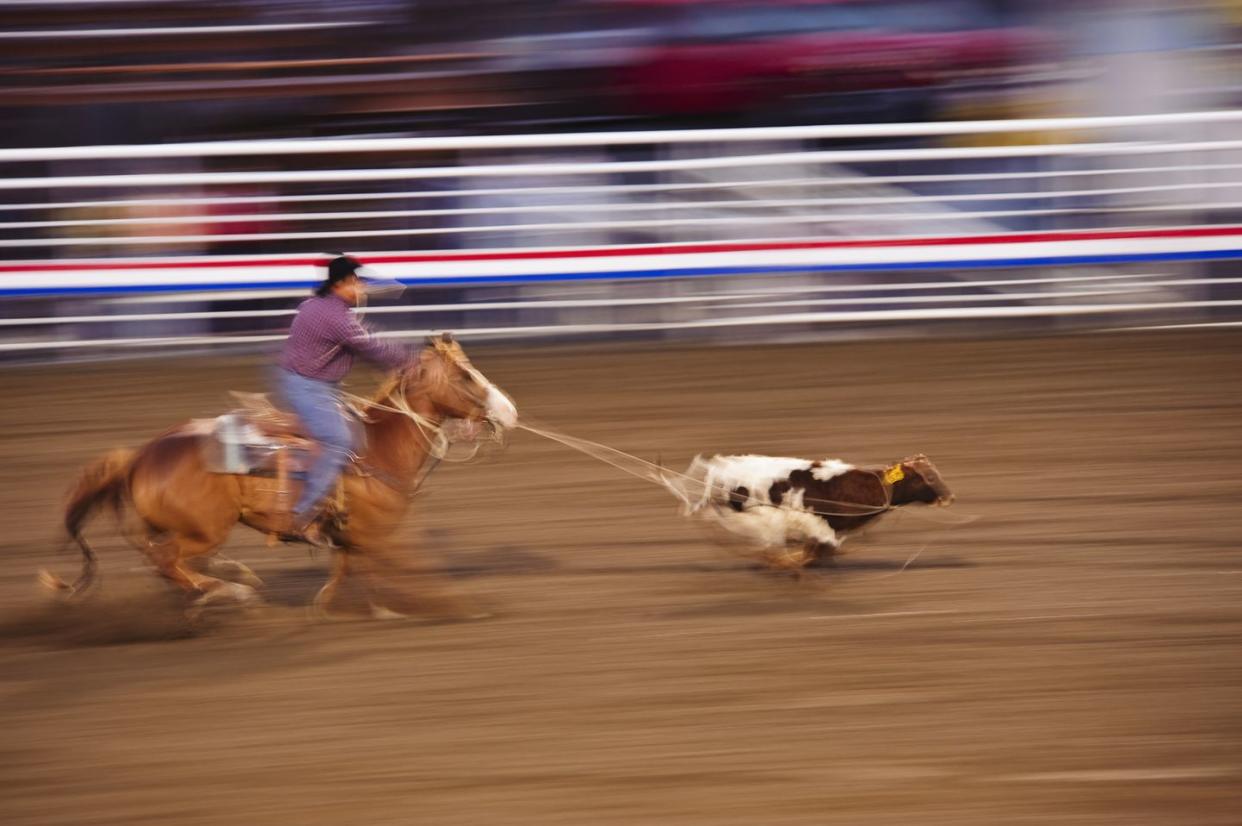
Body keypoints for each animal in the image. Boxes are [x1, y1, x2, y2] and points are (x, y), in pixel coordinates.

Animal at [42, 332, 519, 616]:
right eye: (465, 375)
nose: (510, 411)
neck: (378, 448)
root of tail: (141, 455)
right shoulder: (380, 534)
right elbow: (416, 569)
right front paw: (466, 606)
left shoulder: (353, 536)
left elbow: (346, 571)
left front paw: (340, 608)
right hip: (204, 529)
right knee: (168, 560)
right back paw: (232, 592)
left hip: (170, 527)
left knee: (162, 561)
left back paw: (224, 583)